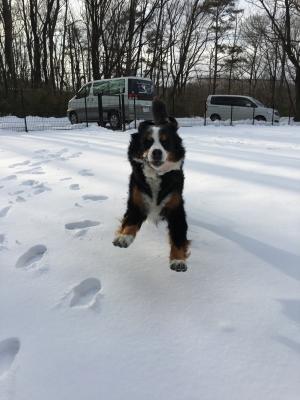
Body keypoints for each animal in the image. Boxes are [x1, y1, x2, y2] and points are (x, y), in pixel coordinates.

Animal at [112, 98, 190, 272]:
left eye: (165, 142)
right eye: (147, 142)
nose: (156, 152)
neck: (157, 175)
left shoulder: (176, 209)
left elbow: (178, 236)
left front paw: (178, 260)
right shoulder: (137, 202)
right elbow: (130, 222)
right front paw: (124, 237)